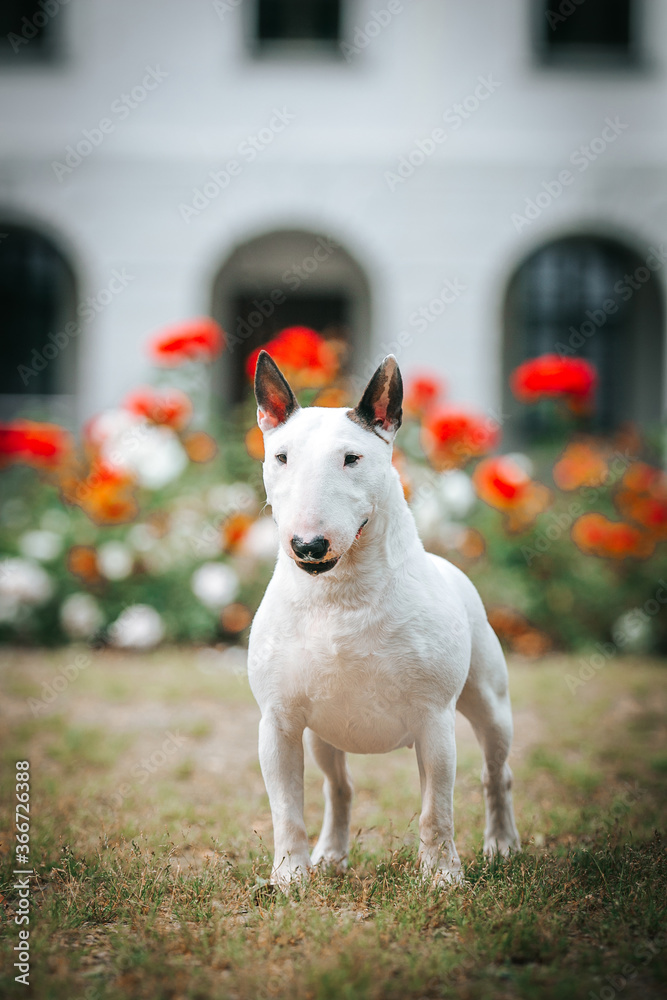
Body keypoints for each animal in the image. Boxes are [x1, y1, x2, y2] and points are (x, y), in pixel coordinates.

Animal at [248, 354, 520, 892]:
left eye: (352, 458)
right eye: (282, 457)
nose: (308, 546)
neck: (340, 594)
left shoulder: (434, 720)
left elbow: (436, 809)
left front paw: (442, 877)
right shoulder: (280, 723)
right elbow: (287, 810)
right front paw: (289, 877)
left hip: (490, 703)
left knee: (495, 773)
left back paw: (502, 845)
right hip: (323, 737)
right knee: (339, 787)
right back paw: (330, 856)